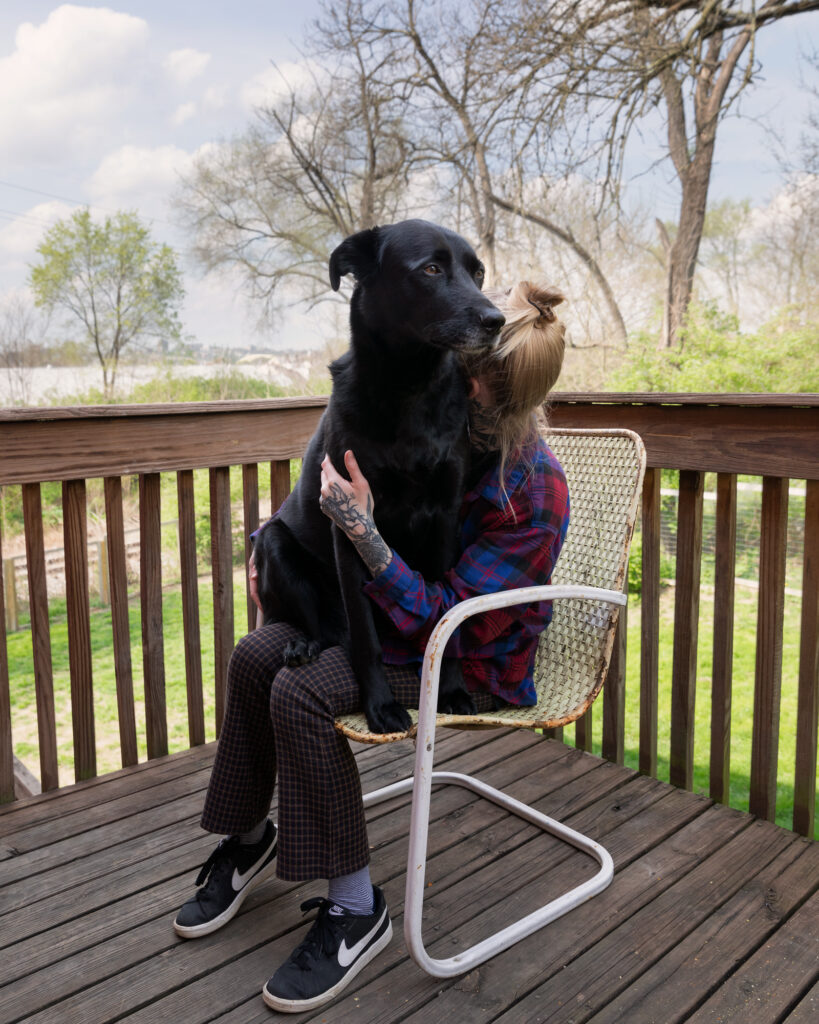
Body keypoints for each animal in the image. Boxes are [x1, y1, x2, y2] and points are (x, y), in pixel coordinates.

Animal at [252, 220, 501, 733]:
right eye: (431, 269)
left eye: (478, 272)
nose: (496, 320)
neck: (410, 386)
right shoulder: (350, 524)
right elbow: (366, 637)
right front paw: (381, 705)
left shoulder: (445, 519)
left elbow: (446, 612)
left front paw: (449, 690)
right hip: (274, 541)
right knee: (328, 628)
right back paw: (305, 644)